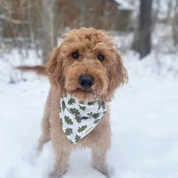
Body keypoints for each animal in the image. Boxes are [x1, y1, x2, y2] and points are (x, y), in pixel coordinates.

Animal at [17, 27, 128, 177]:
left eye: (101, 57)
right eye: (74, 54)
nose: (86, 80)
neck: (82, 109)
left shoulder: (101, 140)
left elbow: (99, 163)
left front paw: (103, 173)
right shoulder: (61, 140)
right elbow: (60, 163)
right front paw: (55, 174)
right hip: (48, 116)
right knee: (44, 135)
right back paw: (39, 150)